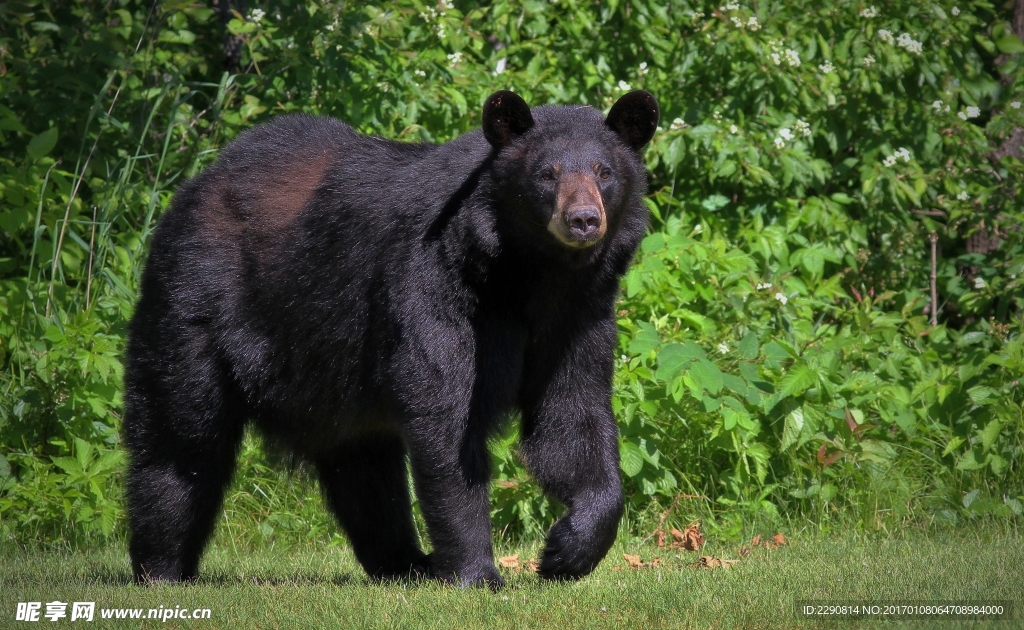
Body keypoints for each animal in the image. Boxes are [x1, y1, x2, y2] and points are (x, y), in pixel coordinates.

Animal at [123, 89, 659, 588]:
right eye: (547, 173)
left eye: (604, 171)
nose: (583, 219)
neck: (525, 272)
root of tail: (197, 183)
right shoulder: (434, 281)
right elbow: (446, 415)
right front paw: (476, 573)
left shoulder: (577, 315)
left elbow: (570, 414)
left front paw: (567, 551)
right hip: (199, 300)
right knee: (182, 438)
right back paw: (162, 566)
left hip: (334, 378)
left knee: (365, 471)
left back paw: (406, 563)